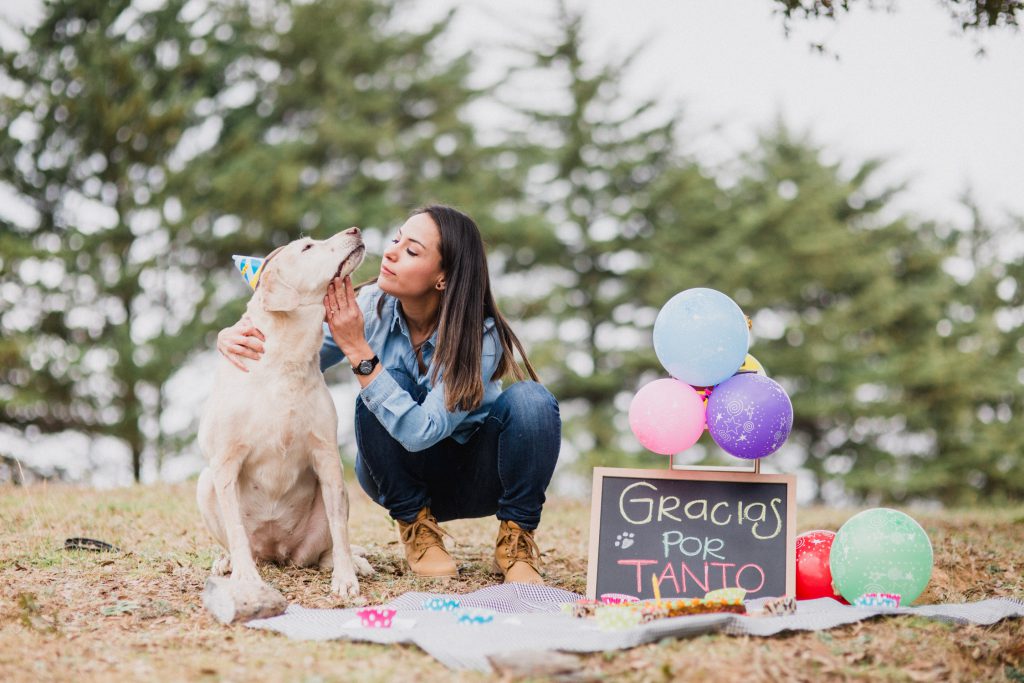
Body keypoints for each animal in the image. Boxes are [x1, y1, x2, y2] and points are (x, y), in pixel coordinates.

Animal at [195, 227, 372, 593]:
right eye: (307, 247)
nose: (355, 230)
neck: (287, 360)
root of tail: (278, 552)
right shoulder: (225, 461)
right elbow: (235, 528)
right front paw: (245, 577)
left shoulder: (327, 457)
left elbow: (340, 528)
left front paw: (345, 577)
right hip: (205, 484)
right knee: (239, 541)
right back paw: (230, 562)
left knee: (328, 547)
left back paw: (351, 563)